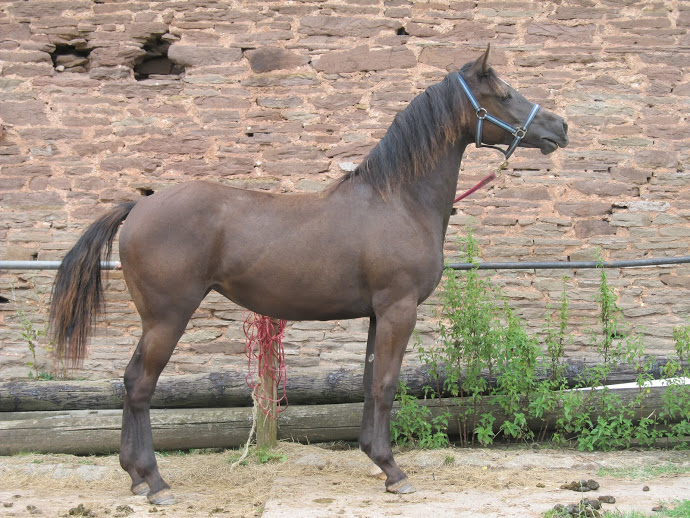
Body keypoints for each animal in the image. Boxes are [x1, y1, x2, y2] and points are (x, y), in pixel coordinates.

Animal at [47, 46, 564, 506]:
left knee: (130, 382)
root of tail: (137, 207)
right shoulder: (399, 310)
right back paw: (154, 482)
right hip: (166, 319)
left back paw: (135, 478)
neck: (399, 200)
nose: (559, 126)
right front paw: (394, 471)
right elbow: (387, 385)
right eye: (503, 93)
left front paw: (374, 458)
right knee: (139, 385)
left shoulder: (377, 314)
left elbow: (369, 383)